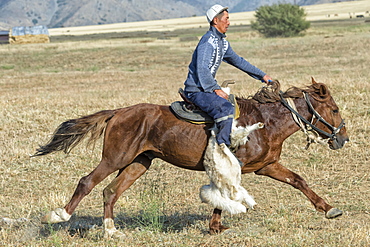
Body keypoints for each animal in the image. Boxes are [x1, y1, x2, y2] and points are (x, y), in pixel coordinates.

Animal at [34, 78, 346, 237]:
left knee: (110, 191)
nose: (343, 138)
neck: (266, 122)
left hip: (138, 163)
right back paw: (58, 215)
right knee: (87, 182)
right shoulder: (235, 166)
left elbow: (299, 181)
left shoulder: (267, 166)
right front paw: (216, 225)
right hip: (115, 158)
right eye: (334, 108)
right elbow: (224, 193)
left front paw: (329, 209)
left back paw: (112, 232)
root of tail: (119, 111)